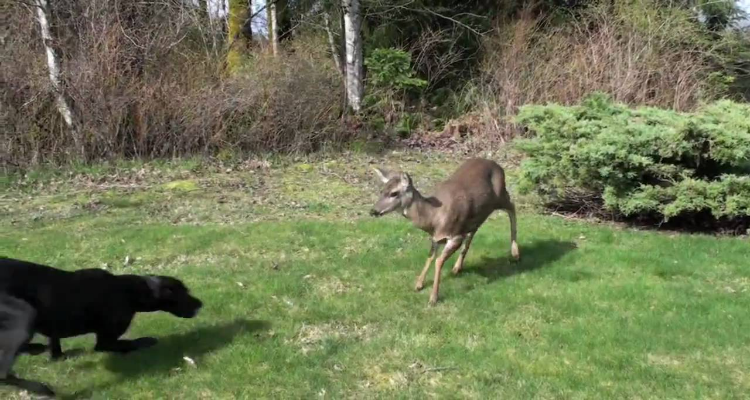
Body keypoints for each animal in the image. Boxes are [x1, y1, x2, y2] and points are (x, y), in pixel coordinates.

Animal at [0, 258, 203, 396]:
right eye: (182, 292)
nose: (201, 303)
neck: (128, 291)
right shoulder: (105, 341)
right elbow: (124, 344)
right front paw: (146, 341)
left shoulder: (53, 322)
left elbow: (54, 341)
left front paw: (57, 355)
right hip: (24, 315)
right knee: (3, 372)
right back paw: (42, 388)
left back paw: (35, 349)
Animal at [372, 159, 524, 306]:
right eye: (381, 191)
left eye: (394, 193)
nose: (373, 211)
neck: (433, 217)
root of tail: (497, 165)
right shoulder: (436, 237)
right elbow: (430, 257)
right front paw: (419, 284)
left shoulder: (455, 236)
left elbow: (438, 261)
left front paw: (433, 298)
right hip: (477, 214)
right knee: (474, 230)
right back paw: (457, 267)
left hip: (500, 196)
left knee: (512, 207)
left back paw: (515, 253)